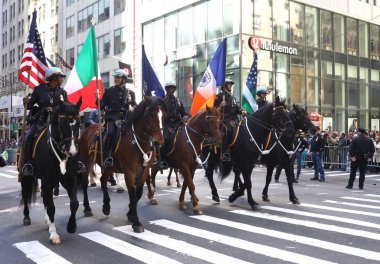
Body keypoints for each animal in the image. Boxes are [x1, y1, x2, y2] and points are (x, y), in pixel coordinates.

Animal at [78, 96, 165, 232]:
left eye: (163, 116)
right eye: (151, 115)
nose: (159, 142)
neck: (136, 140)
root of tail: (86, 129)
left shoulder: (144, 170)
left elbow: (138, 193)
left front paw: (130, 214)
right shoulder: (129, 172)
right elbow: (133, 194)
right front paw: (136, 223)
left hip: (109, 166)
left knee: (103, 180)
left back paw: (106, 206)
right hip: (87, 163)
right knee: (85, 183)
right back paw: (87, 208)